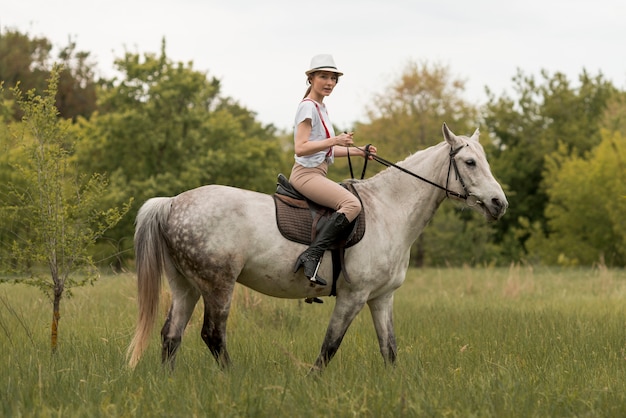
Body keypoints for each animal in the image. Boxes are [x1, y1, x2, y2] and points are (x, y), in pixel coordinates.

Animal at [127, 122, 508, 370]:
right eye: (470, 163)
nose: (499, 203)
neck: (388, 210)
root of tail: (172, 203)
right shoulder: (353, 296)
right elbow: (329, 347)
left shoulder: (382, 297)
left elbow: (389, 350)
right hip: (218, 285)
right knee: (212, 336)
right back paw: (231, 379)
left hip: (186, 286)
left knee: (171, 335)